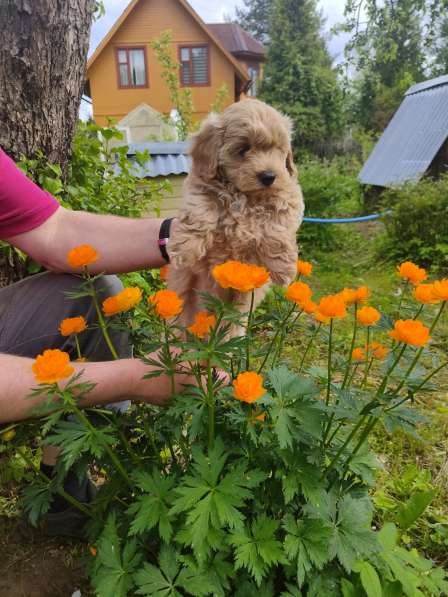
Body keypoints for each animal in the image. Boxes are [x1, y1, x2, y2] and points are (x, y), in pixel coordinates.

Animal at [168, 100, 304, 328]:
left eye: (278, 150)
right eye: (244, 149)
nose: (269, 176)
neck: (246, 195)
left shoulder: (289, 194)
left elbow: (278, 226)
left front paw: (283, 268)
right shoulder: (201, 187)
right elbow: (199, 212)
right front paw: (184, 249)